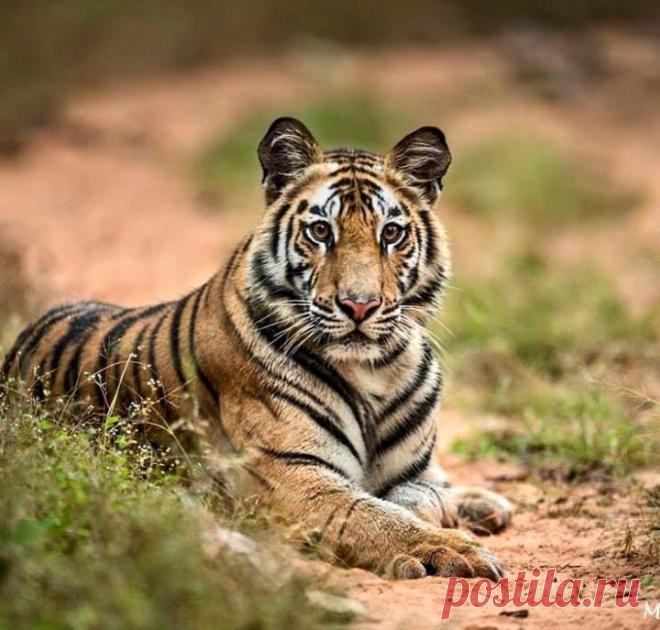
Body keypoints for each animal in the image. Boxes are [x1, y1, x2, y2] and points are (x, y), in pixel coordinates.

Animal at [1, 117, 512, 580]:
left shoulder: (414, 473)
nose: (359, 305)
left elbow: (419, 496)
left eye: (391, 233)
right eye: (321, 232)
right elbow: (373, 514)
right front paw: (451, 548)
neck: (378, 369)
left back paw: (487, 503)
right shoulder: (293, 476)